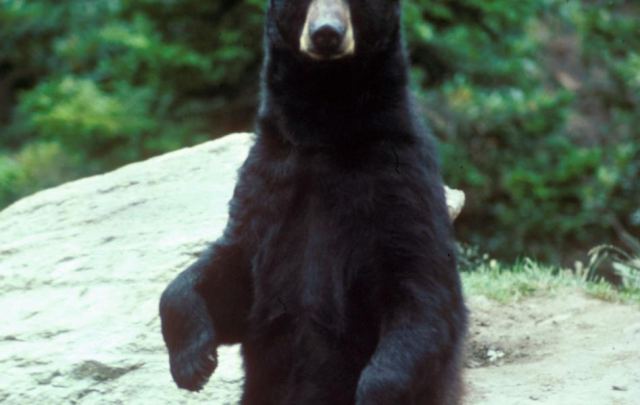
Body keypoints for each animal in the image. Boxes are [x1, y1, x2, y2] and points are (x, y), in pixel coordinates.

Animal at [159, 0, 467, 404]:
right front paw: (193, 361)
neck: (325, 131)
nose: (326, 34)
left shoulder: (399, 178)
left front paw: (374, 391)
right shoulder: (270, 176)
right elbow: (232, 267)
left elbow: (423, 291)